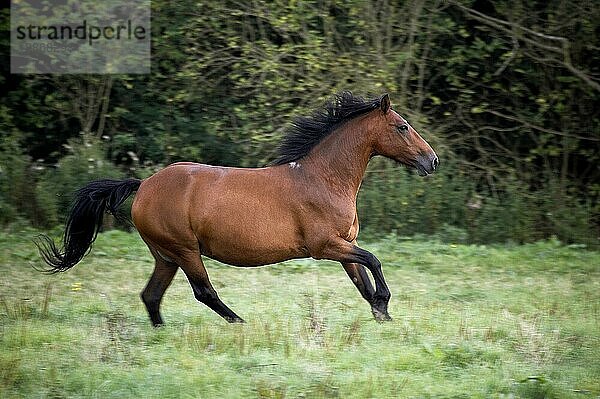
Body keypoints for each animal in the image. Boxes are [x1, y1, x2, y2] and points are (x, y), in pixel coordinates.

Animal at [38, 92, 440, 326]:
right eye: (402, 127)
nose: (432, 161)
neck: (322, 178)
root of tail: (144, 186)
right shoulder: (324, 246)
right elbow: (373, 260)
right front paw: (384, 304)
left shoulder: (343, 246)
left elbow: (361, 279)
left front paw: (380, 313)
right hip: (185, 249)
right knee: (203, 291)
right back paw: (239, 323)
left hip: (165, 255)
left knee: (151, 295)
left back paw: (162, 332)